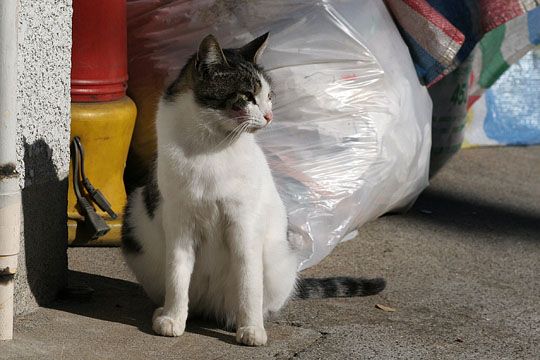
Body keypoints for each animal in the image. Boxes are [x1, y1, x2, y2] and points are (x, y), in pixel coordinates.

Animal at [122, 33, 384, 346]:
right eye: (247, 96)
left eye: (269, 96)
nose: (270, 116)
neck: (210, 145)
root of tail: (210, 307)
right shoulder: (179, 223)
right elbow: (177, 275)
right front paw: (173, 318)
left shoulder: (243, 224)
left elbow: (248, 283)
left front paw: (251, 329)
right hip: (135, 222)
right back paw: (172, 311)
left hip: (279, 260)